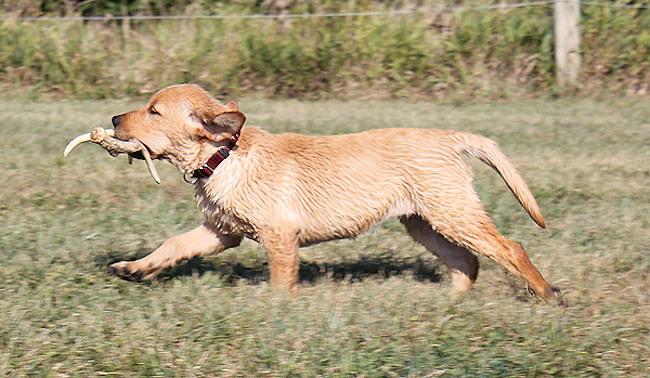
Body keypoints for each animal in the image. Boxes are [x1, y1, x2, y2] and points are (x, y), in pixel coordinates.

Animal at [106, 83, 560, 304]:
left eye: (153, 111)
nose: (112, 118)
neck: (226, 155)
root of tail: (448, 137)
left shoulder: (279, 236)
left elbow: (280, 282)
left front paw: (277, 314)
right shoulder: (222, 231)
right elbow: (173, 244)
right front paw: (135, 268)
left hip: (453, 212)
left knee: (510, 248)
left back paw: (547, 294)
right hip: (424, 222)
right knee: (466, 260)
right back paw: (451, 304)